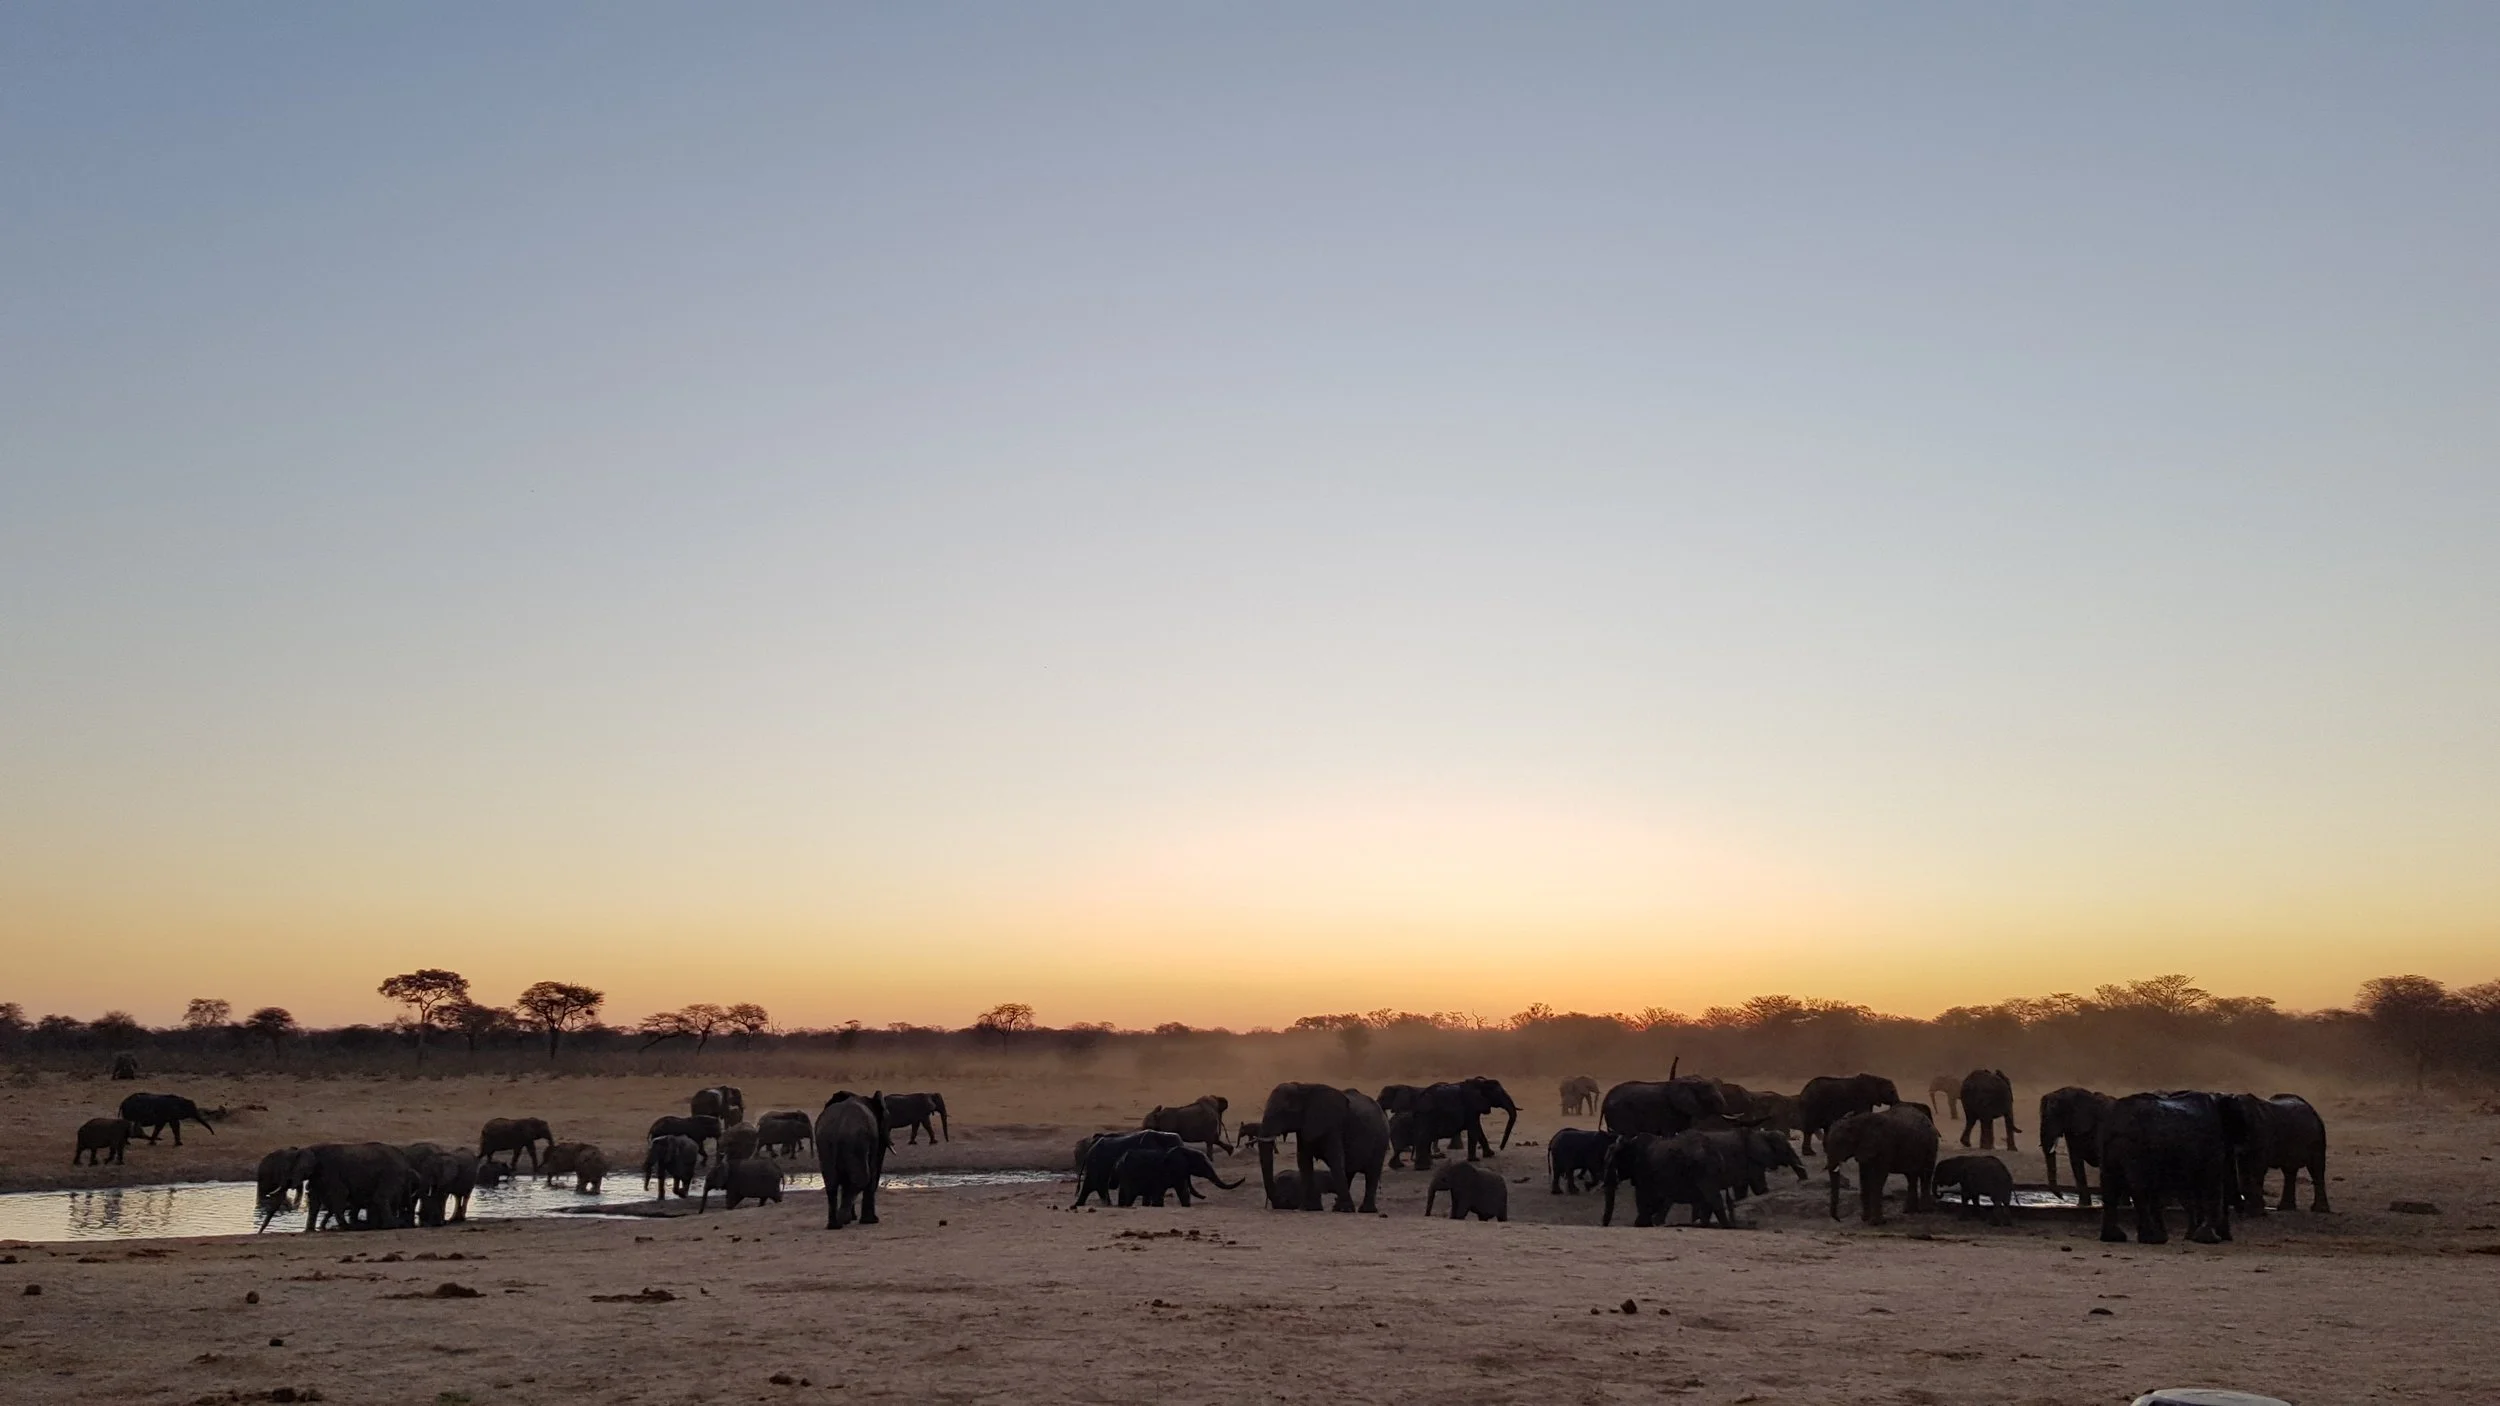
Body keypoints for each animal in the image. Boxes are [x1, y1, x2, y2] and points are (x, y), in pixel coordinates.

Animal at [814, 1091, 891, 1229]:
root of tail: (837, 1127)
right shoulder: (874, 1138)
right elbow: (872, 1171)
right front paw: (871, 1221)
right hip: (855, 1142)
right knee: (862, 1178)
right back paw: (842, 1219)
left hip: (824, 1143)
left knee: (831, 1183)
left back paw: (834, 1224)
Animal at [1247, 1083, 1389, 1213]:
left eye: (1284, 1112)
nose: (1284, 1203)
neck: (1303, 1088)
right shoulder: (1304, 1127)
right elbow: (1303, 1160)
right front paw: (1309, 1208)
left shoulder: (1333, 1126)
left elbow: (1335, 1160)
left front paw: (1345, 1209)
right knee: (1349, 1172)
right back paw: (1338, 1208)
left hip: (1381, 1139)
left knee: (1372, 1172)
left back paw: (1364, 1210)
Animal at [2096, 1091, 2249, 1246]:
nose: (2227, 1238)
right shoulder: (2212, 1144)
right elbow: (2211, 1183)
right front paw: (2210, 1240)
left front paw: (2196, 1237)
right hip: (2135, 1148)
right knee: (2139, 1188)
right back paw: (2153, 1239)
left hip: (2111, 1147)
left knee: (2110, 1186)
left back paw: (2114, 1238)